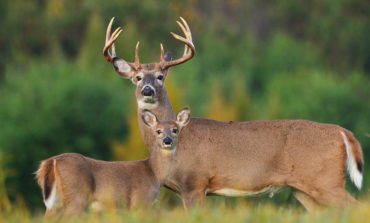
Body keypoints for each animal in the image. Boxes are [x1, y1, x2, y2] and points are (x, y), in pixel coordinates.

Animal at [35, 108, 191, 216]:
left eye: (175, 130)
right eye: (158, 131)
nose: (167, 141)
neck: (154, 174)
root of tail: (51, 161)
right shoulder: (139, 202)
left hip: (55, 201)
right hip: (76, 197)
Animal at [104, 17, 364, 211]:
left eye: (160, 76)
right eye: (137, 78)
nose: (147, 90)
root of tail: (343, 133)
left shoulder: (195, 183)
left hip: (326, 181)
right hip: (304, 189)